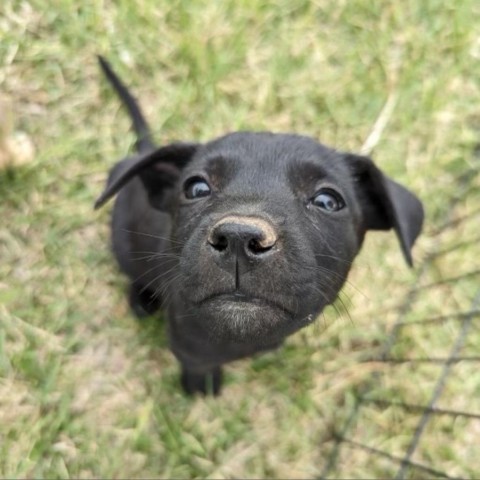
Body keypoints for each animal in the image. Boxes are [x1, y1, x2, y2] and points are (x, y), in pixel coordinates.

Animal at [96, 57, 424, 394]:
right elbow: (198, 365)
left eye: (327, 201)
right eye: (196, 188)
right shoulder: (187, 346)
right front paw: (202, 387)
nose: (239, 238)